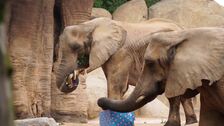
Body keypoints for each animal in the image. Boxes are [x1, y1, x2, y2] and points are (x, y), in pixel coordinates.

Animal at [53, 17, 197, 125]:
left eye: (76, 47)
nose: (73, 76)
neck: (91, 25)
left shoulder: (120, 53)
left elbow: (116, 87)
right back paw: (191, 122)